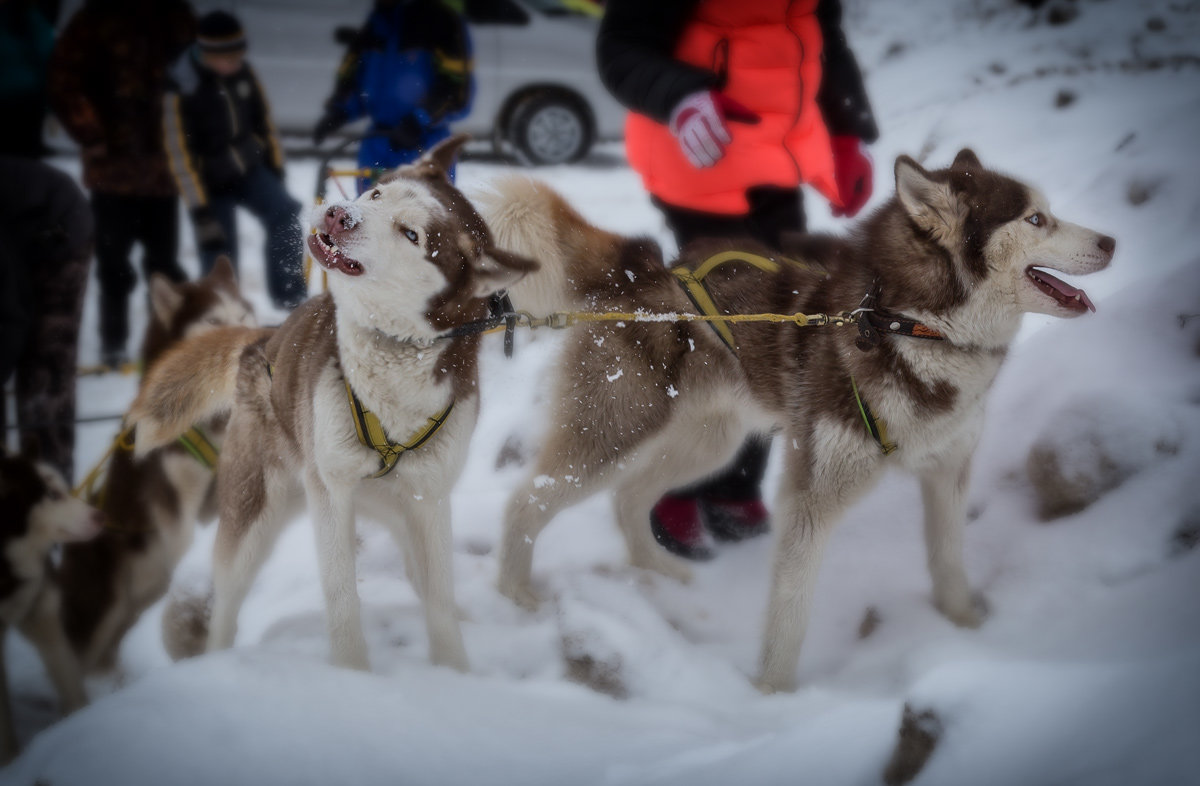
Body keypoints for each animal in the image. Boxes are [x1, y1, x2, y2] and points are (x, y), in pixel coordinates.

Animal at [0, 436, 104, 763]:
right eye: (53, 495)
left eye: (62, 487)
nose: (100, 516)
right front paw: (10, 761)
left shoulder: (38, 608)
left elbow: (69, 676)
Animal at [126, 138, 535, 672]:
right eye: (376, 193)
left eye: (412, 234)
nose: (341, 215)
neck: (390, 366)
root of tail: (263, 339)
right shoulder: (332, 493)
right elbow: (342, 598)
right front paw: (352, 675)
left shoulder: (429, 499)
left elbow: (440, 599)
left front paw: (452, 671)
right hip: (255, 513)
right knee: (227, 603)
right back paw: (219, 660)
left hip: (395, 507)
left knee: (422, 574)